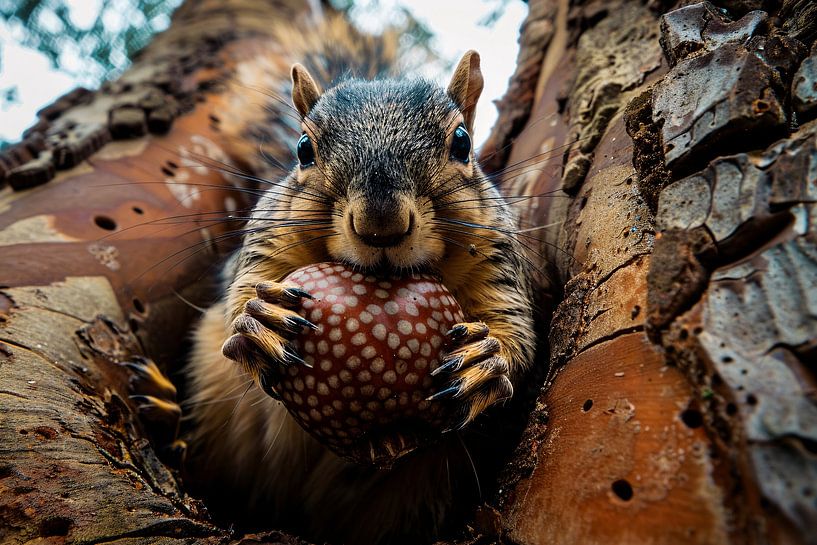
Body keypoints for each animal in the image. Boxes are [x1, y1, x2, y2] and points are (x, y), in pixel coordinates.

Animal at [133, 14, 537, 545]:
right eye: (303, 149)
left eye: (463, 144)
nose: (381, 224)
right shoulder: (268, 235)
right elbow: (242, 291)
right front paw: (260, 320)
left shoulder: (497, 261)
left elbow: (517, 332)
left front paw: (488, 360)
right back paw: (167, 419)